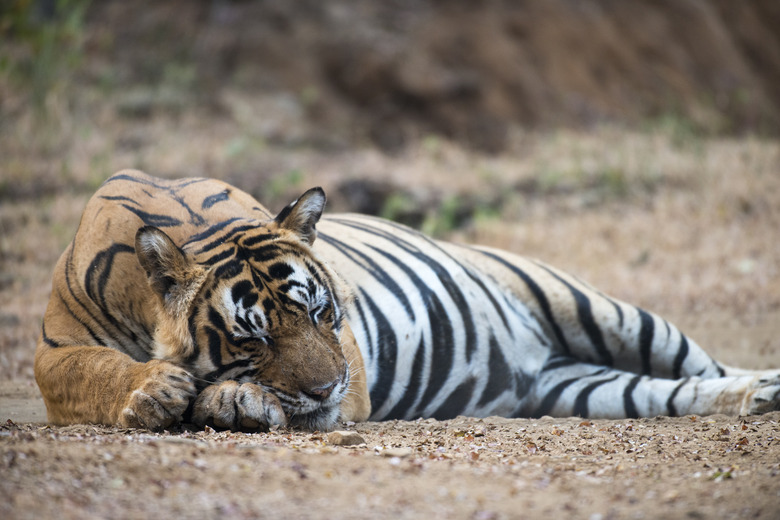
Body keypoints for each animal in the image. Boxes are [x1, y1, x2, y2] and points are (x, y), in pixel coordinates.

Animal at [33, 170, 780, 430]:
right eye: (253, 337)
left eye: (321, 312)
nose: (328, 390)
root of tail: (530, 364)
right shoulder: (53, 352)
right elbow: (91, 371)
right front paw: (154, 392)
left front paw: (228, 402)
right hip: (579, 387)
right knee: (672, 393)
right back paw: (759, 399)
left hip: (602, 311)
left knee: (704, 366)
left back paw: (763, 387)